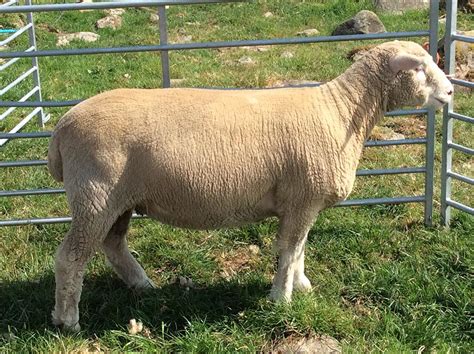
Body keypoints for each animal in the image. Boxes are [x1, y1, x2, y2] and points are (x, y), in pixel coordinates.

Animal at [47, 40, 452, 330]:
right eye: (418, 67)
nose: (450, 92)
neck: (341, 112)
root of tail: (62, 127)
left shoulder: (302, 201)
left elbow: (299, 248)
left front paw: (300, 286)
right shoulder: (303, 197)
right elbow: (289, 250)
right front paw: (281, 300)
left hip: (118, 199)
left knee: (113, 245)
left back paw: (142, 285)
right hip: (96, 196)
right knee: (71, 257)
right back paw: (67, 320)